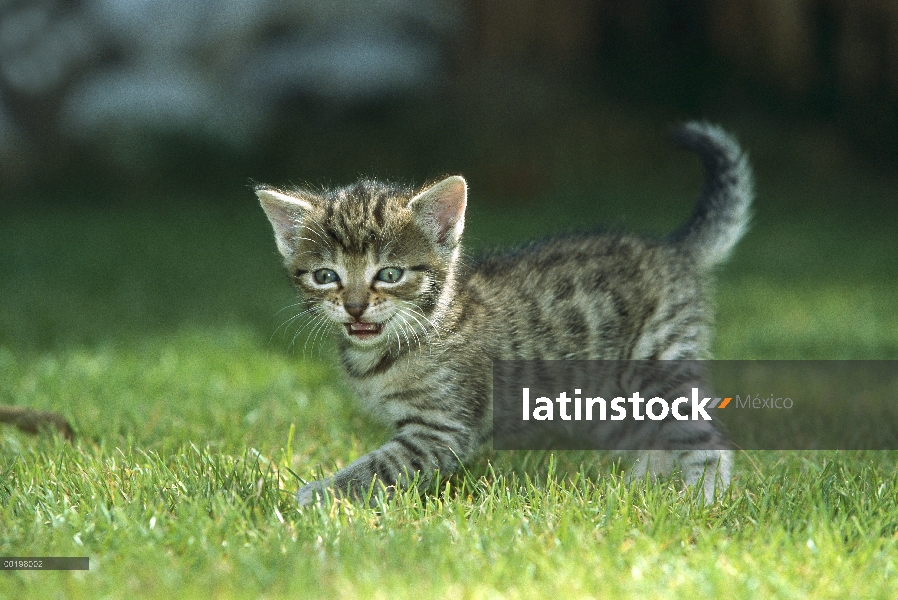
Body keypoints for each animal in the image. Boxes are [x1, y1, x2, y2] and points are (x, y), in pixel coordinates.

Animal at [256, 123, 752, 506]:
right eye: (325, 276)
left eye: (390, 274)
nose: (355, 305)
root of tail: (672, 249)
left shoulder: (442, 429)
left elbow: (381, 467)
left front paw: (317, 495)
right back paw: (637, 490)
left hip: (656, 363)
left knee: (705, 437)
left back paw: (702, 498)